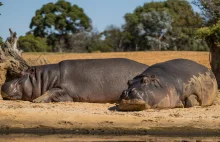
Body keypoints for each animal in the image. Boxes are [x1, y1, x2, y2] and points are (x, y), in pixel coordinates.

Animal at [1, 57, 148, 103]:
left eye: (21, 73)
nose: (3, 84)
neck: (45, 78)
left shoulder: (64, 88)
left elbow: (51, 90)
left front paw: (37, 100)